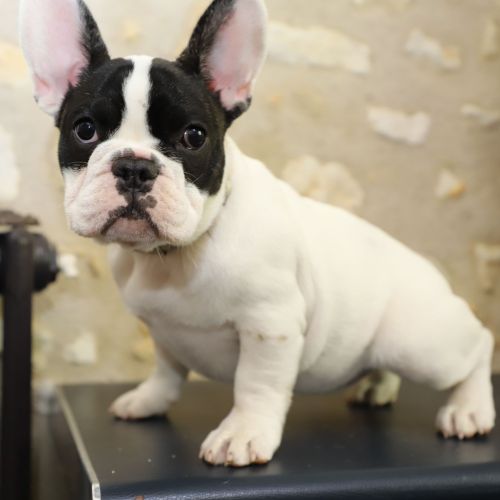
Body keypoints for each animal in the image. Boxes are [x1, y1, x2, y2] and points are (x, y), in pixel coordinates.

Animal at [20, 0, 496, 467]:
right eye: (85, 130)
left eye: (193, 136)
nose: (135, 166)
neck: (177, 254)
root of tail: (426, 270)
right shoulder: (163, 331)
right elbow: (166, 371)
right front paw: (148, 400)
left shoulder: (270, 326)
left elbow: (255, 385)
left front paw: (243, 434)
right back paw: (378, 387)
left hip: (420, 346)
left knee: (477, 349)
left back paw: (469, 409)